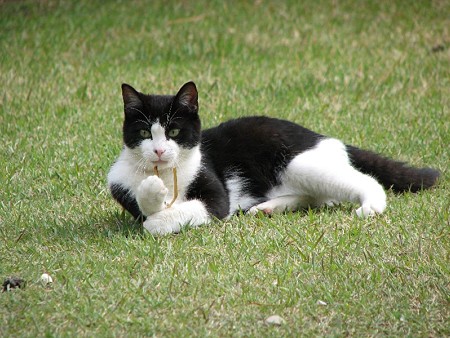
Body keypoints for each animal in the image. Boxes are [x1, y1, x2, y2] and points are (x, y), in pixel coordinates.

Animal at [108, 82, 440, 235]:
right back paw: (267, 208)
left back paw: (371, 205)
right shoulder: (121, 186)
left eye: (174, 131)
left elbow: (170, 217)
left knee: (361, 181)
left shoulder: (216, 197)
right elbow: (148, 208)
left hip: (299, 163)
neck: (167, 174)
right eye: (144, 133)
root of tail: (323, 136)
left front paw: (158, 213)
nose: (159, 151)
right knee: (318, 197)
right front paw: (153, 193)